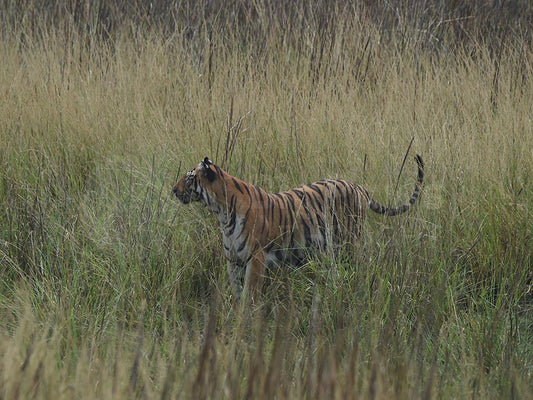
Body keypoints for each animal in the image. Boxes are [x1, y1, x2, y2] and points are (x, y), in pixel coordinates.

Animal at [175, 155, 424, 302]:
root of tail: (360, 188)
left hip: (350, 242)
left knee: (361, 267)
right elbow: (237, 294)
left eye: (189, 178)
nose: (173, 189)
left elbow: (248, 296)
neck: (222, 212)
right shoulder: (233, 261)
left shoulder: (256, 259)